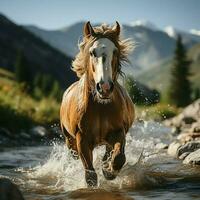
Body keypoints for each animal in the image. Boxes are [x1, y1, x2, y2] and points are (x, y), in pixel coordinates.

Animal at [59, 21, 134, 188]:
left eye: (115, 51)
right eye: (92, 52)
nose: (104, 87)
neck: (101, 107)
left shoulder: (118, 132)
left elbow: (119, 157)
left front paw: (109, 171)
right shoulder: (82, 140)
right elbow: (91, 176)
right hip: (70, 141)